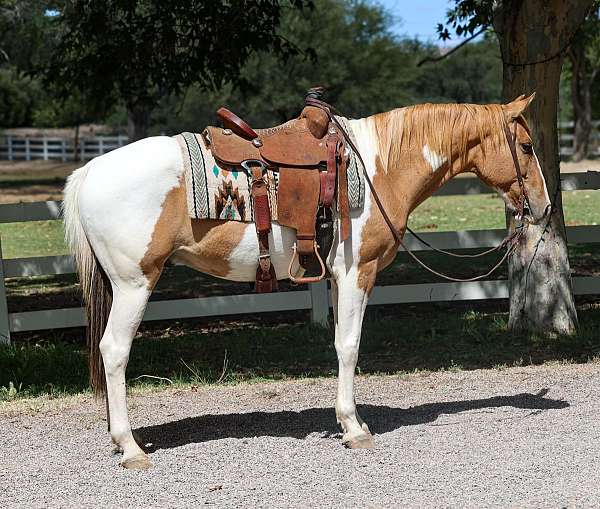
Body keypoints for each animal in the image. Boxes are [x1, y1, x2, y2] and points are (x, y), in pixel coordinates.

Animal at [64, 92, 548, 468]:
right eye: (526, 145)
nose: (543, 208)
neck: (379, 168)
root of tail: (89, 172)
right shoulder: (356, 273)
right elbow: (349, 346)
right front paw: (354, 427)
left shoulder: (335, 277)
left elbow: (339, 343)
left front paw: (349, 421)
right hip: (134, 283)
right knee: (114, 351)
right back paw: (130, 447)